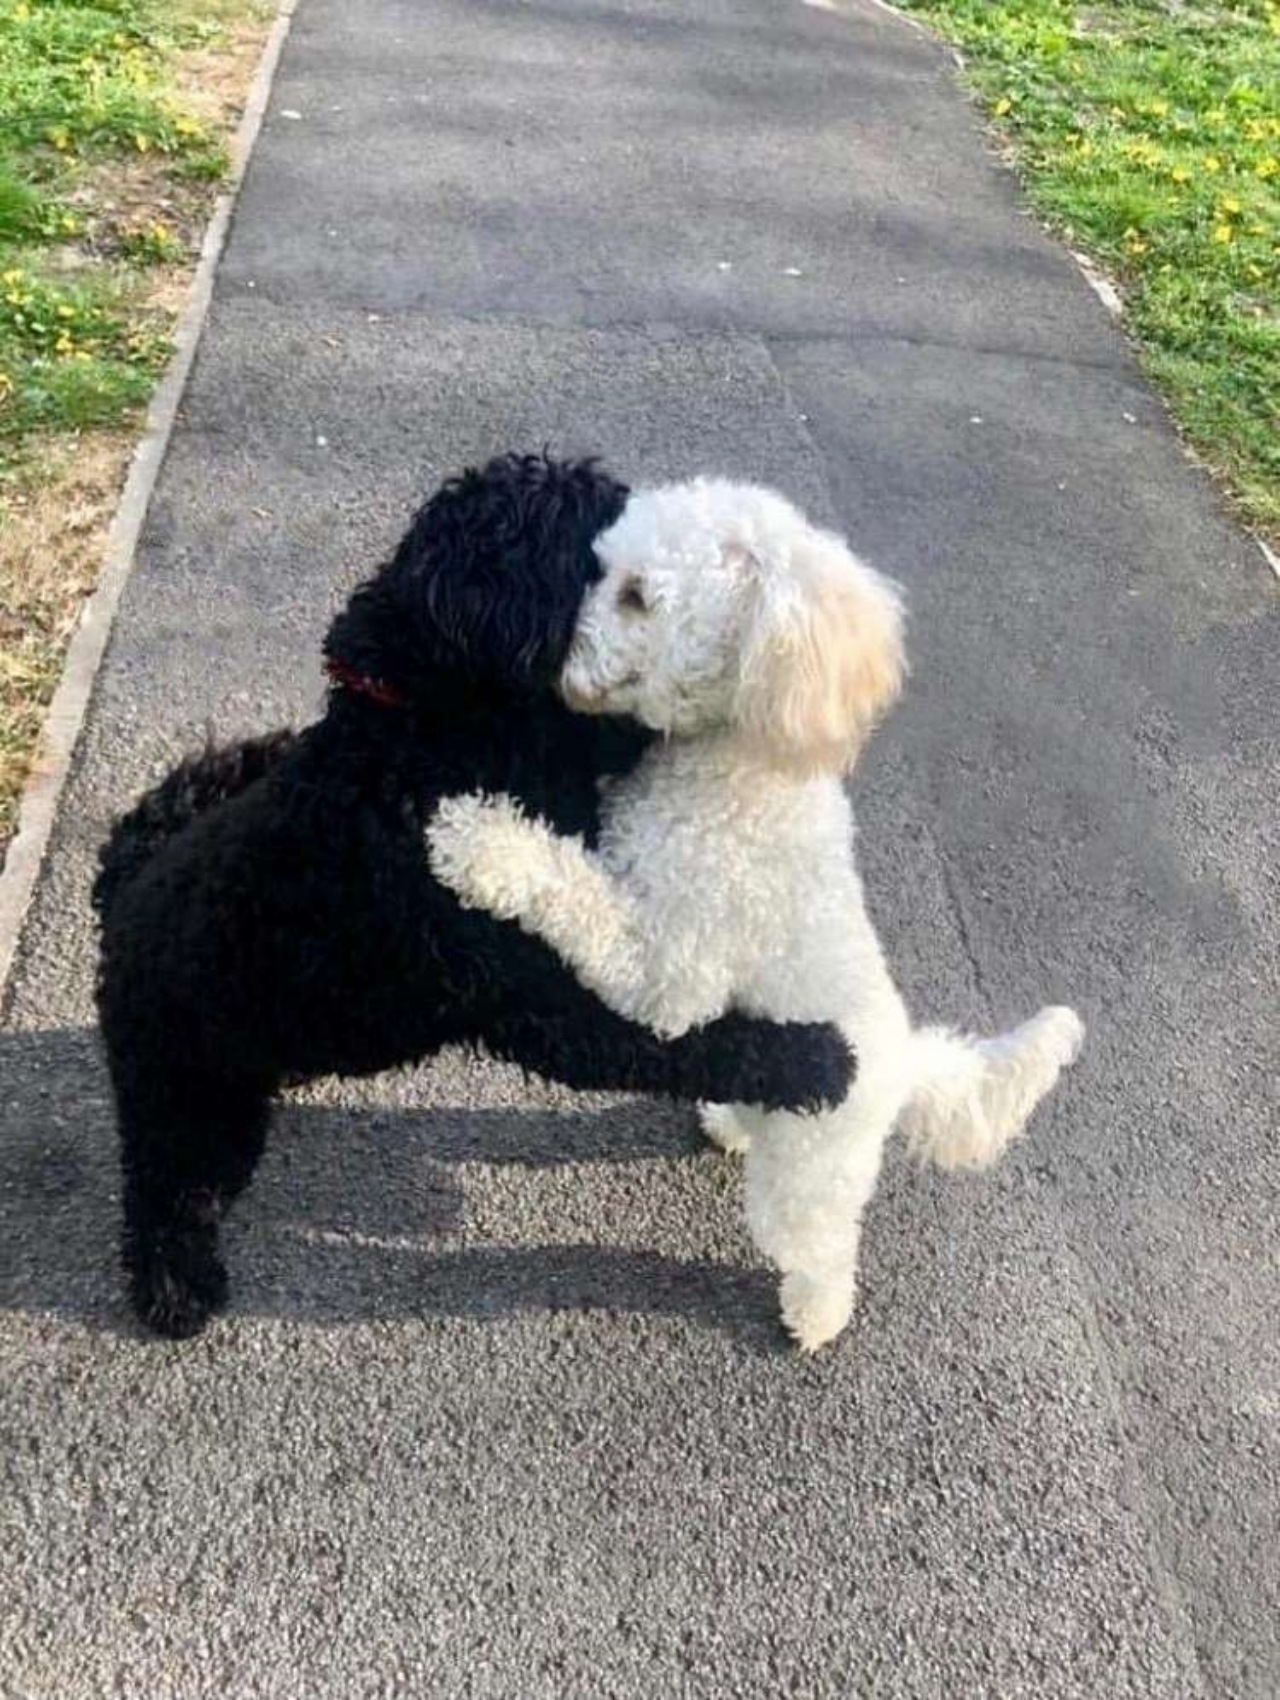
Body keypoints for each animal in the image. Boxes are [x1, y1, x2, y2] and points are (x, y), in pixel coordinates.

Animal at [97, 455, 849, 1339]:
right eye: (596, 553)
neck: (418, 735)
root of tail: (119, 895)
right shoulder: (543, 1004)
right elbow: (690, 1042)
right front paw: (817, 1060)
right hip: (183, 1097)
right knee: (167, 1193)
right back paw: (175, 1287)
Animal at [426, 482, 1081, 1353]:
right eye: (598, 568)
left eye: (637, 596)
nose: (551, 658)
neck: (742, 761)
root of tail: (904, 1062)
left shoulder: (672, 973)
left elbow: (575, 889)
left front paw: (479, 843)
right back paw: (728, 1122)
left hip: (809, 1178)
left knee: (821, 1248)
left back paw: (816, 1316)